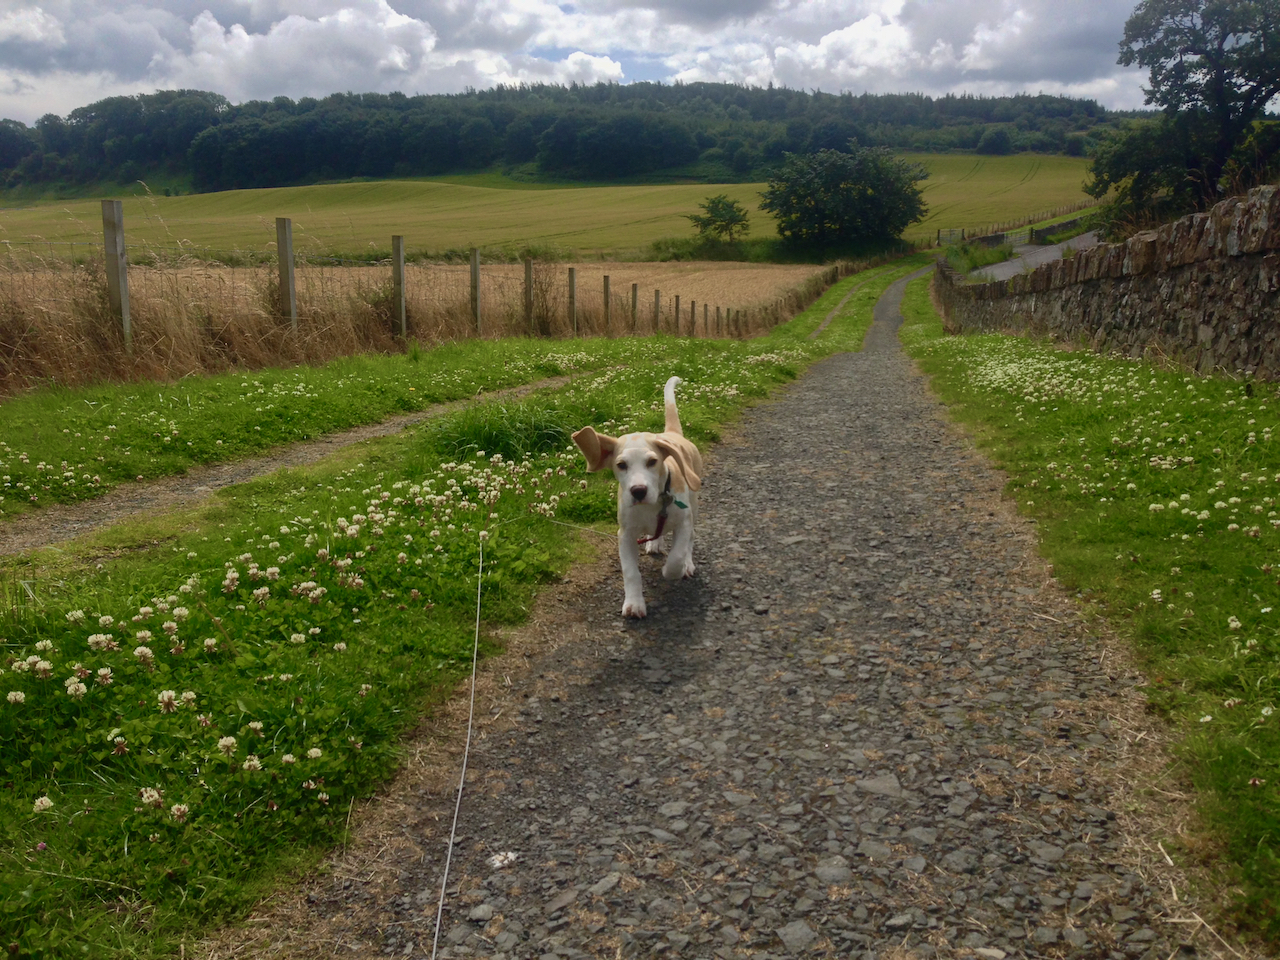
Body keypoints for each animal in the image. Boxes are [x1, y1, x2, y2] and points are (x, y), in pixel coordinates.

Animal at [572, 376, 703, 619]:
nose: (638, 490)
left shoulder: (683, 521)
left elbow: (677, 555)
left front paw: (673, 569)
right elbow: (631, 572)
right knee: (658, 532)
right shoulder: (625, 534)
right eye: (621, 465)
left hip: (694, 503)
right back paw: (655, 542)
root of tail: (672, 435)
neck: (653, 506)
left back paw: (687, 564)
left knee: (691, 537)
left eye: (652, 462)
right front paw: (634, 604)